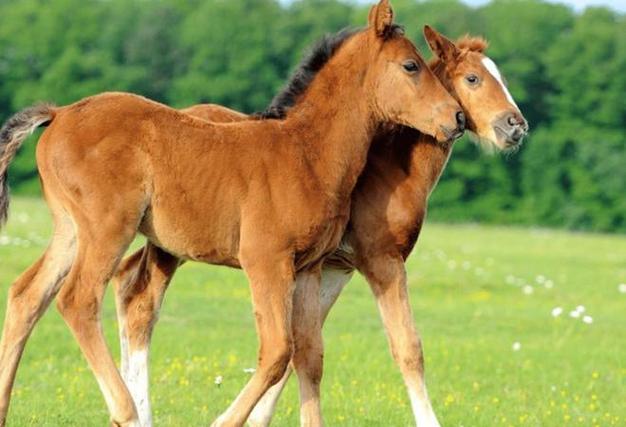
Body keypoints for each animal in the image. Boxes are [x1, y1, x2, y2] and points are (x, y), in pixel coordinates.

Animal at [0, 1, 460, 426]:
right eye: (411, 65)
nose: (455, 117)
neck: (307, 153)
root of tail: (59, 113)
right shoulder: (265, 260)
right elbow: (277, 350)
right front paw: (223, 420)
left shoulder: (308, 267)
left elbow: (307, 354)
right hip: (108, 228)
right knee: (77, 300)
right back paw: (126, 411)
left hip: (70, 230)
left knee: (27, 296)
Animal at [112, 26, 528, 427]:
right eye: (473, 78)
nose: (515, 126)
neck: (386, 169)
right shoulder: (381, 261)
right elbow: (407, 347)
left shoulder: (332, 268)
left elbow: (303, 346)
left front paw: (259, 418)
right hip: (172, 246)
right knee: (141, 301)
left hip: (167, 243)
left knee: (129, 284)